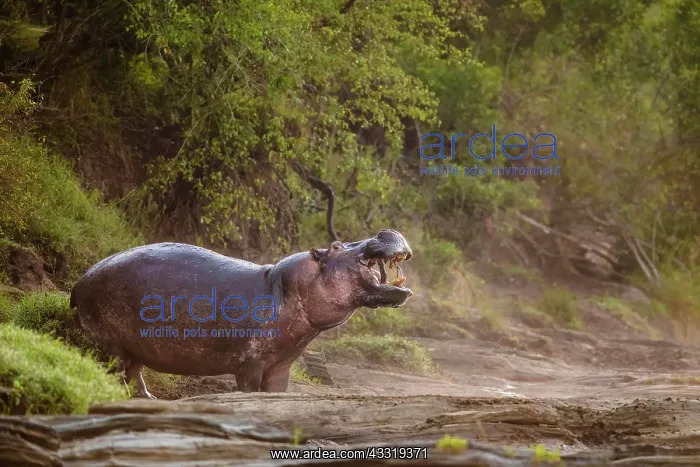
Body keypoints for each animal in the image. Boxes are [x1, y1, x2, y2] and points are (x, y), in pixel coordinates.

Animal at [70, 229, 413, 397]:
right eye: (336, 245)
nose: (385, 231)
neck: (283, 286)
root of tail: (79, 282)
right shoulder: (251, 362)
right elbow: (249, 391)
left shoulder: (280, 366)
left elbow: (276, 395)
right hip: (113, 344)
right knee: (117, 371)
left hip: (137, 345)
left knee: (135, 372)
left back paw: (148, 399)